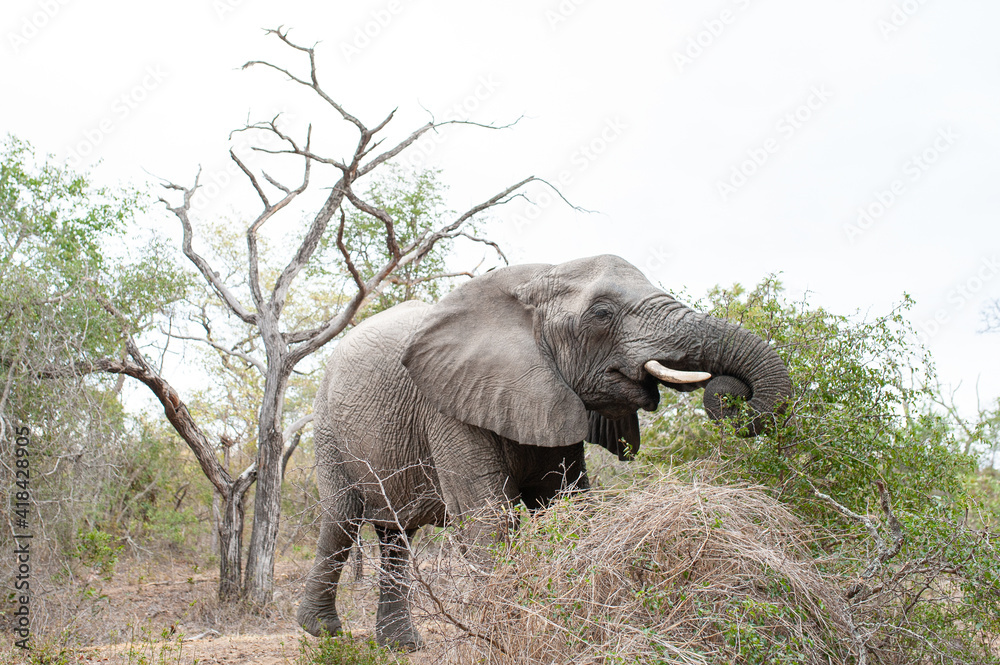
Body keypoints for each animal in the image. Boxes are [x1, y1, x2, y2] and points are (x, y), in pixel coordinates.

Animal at [296, 254, 792, 649]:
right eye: (602, 313)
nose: (727, 391)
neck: (534, 280)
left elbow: (567, 503)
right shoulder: (447, 405)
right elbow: (490, 517)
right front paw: (504, 637)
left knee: (396, 537)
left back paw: (402, 646)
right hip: (327, 426)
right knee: (342, 519)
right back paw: (322, 633)